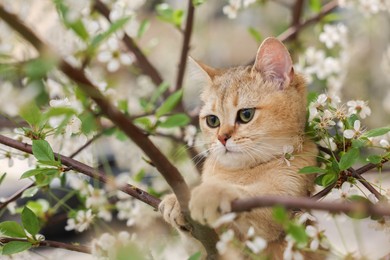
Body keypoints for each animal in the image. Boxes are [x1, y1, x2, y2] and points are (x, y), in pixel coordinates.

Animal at [160, 37, 318, 258]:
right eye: (212, 121)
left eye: (246, 115)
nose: (222, 138)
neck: (241, 171)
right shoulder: (214, 246)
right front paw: (177, 201)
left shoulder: (284, 201)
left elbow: (252, 197)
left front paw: (211, 193)